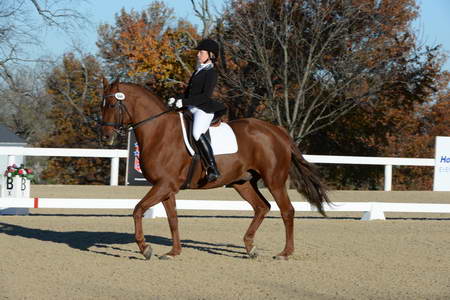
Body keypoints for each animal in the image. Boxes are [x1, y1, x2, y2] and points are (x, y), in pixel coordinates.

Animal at [101, 79, 330, 260]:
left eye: (112, 104)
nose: (106, 137)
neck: (159, 132)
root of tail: (278, 132)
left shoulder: (164, 185)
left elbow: (138, 209)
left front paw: (145, 248)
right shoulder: (166, 187)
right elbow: (173, 219)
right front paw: (174, 252)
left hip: (274, 180)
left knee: (287, 211)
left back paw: (285, 253)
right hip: (242, 182)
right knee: (261, 207)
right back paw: (250, 247)